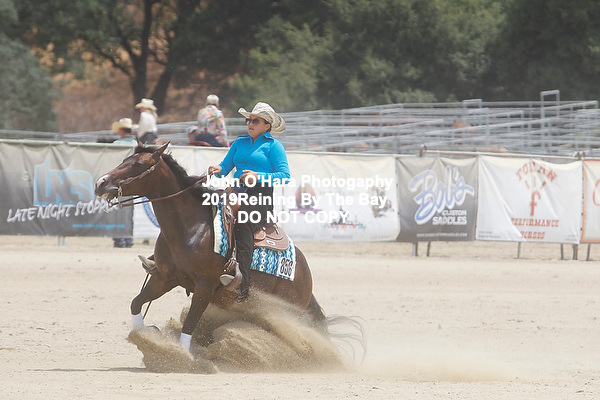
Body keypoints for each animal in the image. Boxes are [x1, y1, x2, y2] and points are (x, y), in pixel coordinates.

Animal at [94, 142, 327, 352]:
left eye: (139, 164)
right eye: (125, 160)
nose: (100, 182)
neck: (190, 226)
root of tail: (306, 274)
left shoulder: (204, 286)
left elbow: (189, 324)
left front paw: (180, 355)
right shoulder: (164, 277)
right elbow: (136, 303)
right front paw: (142, 334)